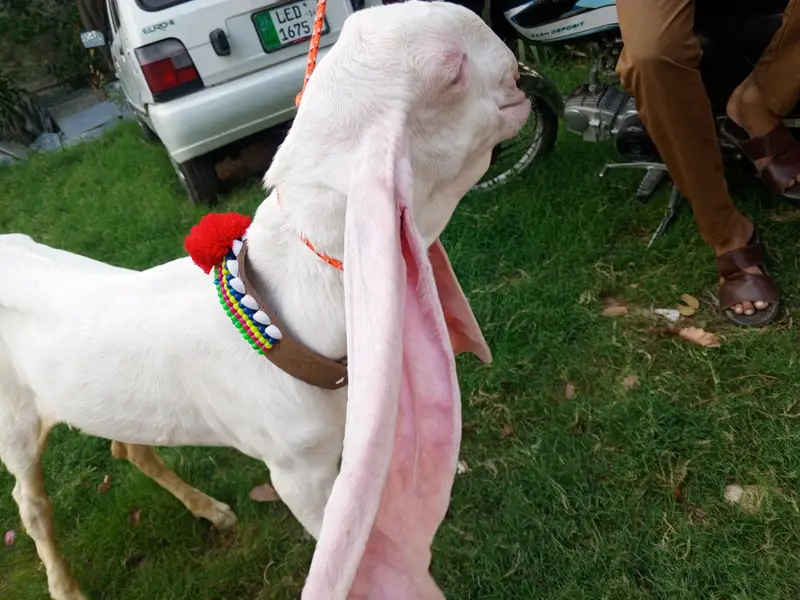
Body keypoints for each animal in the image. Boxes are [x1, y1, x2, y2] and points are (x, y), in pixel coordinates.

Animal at [0, 2, 530, 598]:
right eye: (452, 72)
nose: (518, 73)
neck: (285, 307)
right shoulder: (297, 473)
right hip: (14, 419)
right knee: (29, 499)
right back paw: (65, 584)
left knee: (127, 445)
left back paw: (209, 510)